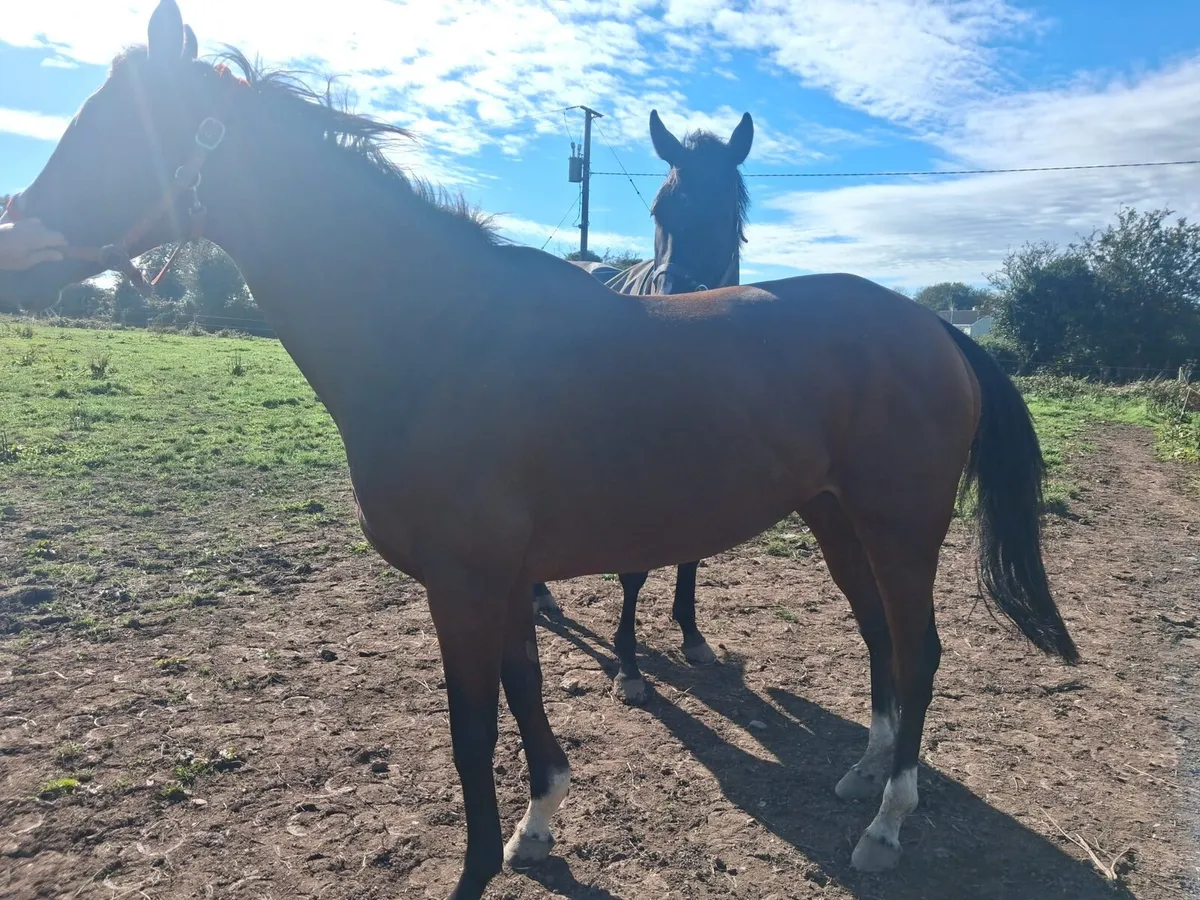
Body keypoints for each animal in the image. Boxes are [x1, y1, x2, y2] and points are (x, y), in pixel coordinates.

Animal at [539, 109, 754, 704]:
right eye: (660, 210)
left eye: (727, 212)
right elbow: (634, 569)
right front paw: (629, 665)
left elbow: (692, 551)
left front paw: (693, 636)